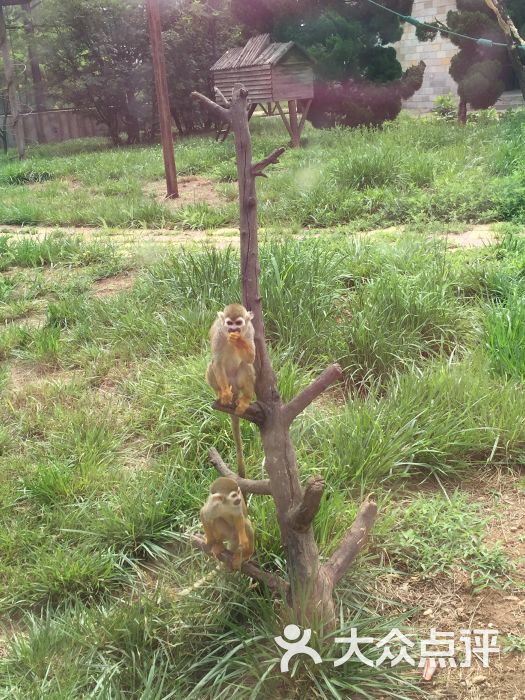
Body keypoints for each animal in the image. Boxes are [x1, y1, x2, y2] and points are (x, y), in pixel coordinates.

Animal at [206, 304, 255, 478]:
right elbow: (218, 362)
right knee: (212, 364)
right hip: (228, 381)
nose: (234, 329)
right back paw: (222, 393)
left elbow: (251, 358)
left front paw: (239, 340)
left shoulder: (250, 330)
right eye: (229, 323)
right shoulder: (219, 333)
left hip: (237, 383)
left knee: (246, 365)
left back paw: (246, 398)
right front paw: (225, 394)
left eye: (238, 323)